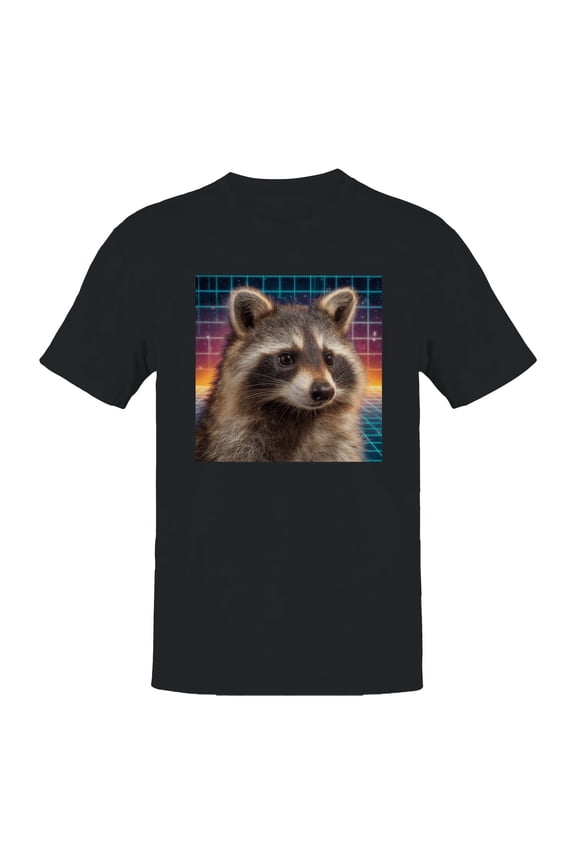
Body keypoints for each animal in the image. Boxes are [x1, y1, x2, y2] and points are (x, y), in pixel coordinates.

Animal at [195, 286, 368, 462]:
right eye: (286, 358)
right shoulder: (235, 444)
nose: (324, 391)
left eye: (329, 358)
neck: (297, 414)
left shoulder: (339, 446)